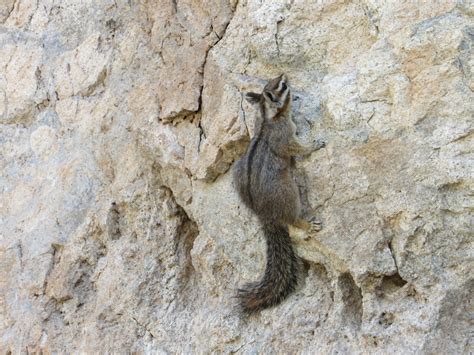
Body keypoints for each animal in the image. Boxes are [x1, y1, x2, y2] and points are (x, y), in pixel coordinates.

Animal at [233, 73, 326, 312]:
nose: (284, 74)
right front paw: (314, 144)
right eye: (282, 86)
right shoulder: (285, 137)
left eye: (275, 82)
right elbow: (295, 148)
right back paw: (306, 224)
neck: (270, 118)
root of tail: (266, 217)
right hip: (289, 193)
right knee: (292, 219)